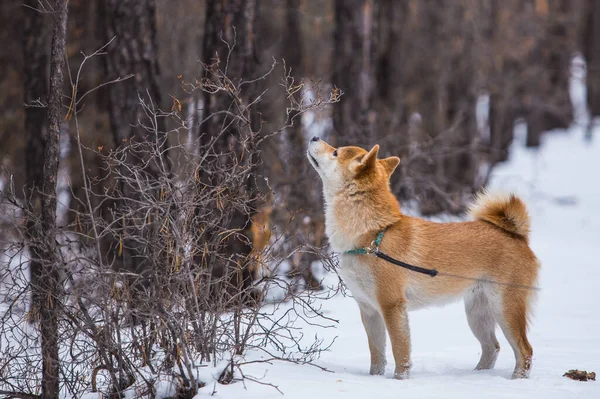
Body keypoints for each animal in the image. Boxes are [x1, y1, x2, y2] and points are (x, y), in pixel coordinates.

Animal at [310, 138, 540, 382]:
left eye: (336, 152)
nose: (314, 138)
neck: (373, 236)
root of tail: (517, 235)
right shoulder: (369, 310)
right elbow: (377, 356)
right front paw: (375, 379)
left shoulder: (392, 307)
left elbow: (400, 353)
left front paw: (400, 381)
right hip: (477, 314)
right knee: (492, 347)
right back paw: (477, 375)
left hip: (505, 310)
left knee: (524, 350)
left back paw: (517, 379)